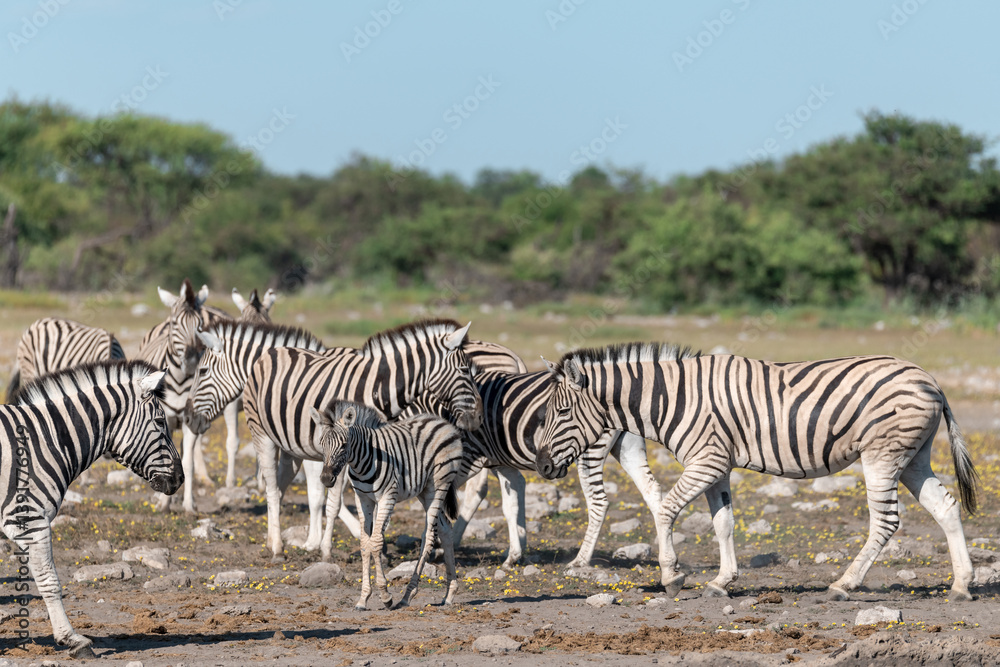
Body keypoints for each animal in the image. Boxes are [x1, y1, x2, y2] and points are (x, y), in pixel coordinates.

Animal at [1, 360, 182, 658]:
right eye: (160, 421)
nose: (180, 479)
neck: (39, 442)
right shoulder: (31, 520)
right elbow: (49, 580)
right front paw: (72, 639)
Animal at [241, 319, 482, 561]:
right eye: (464, 370)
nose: (479, 417)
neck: (376, 389)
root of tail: (271, 352)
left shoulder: (374, 448)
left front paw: (379, 551)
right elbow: (334, 503)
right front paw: (327, 551)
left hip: (290, 449)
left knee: (279, 488)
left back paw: (271, 540)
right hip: (261, 433)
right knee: (272, 489)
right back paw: (278, 549)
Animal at [312, 400, 463, 610]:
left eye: (343, 445)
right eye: (321, 445)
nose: (326, 479)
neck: (362, 462)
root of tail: (442, 422)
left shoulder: (387, 496)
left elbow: (376, 542)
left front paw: (385, 596)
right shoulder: (363, 499)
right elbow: (365, 543)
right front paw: (363, 599)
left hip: (439, 485)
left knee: (429, 537)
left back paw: (407, 596)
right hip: (425, 492)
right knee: (446, 529)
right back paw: (449, 595)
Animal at [533, 343, 980, 602]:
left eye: (562, 412)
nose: (541, 465)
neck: (672, 397)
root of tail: (931, 380)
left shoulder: (706, 460)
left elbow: (664, 509)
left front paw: (671, 575)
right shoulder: (718, 465)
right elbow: (723, 522)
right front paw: (721, 581)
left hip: (883, 455)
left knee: (885, 521)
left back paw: (844, 584)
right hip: (913, 457)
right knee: (945, 507)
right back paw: (961, 585)